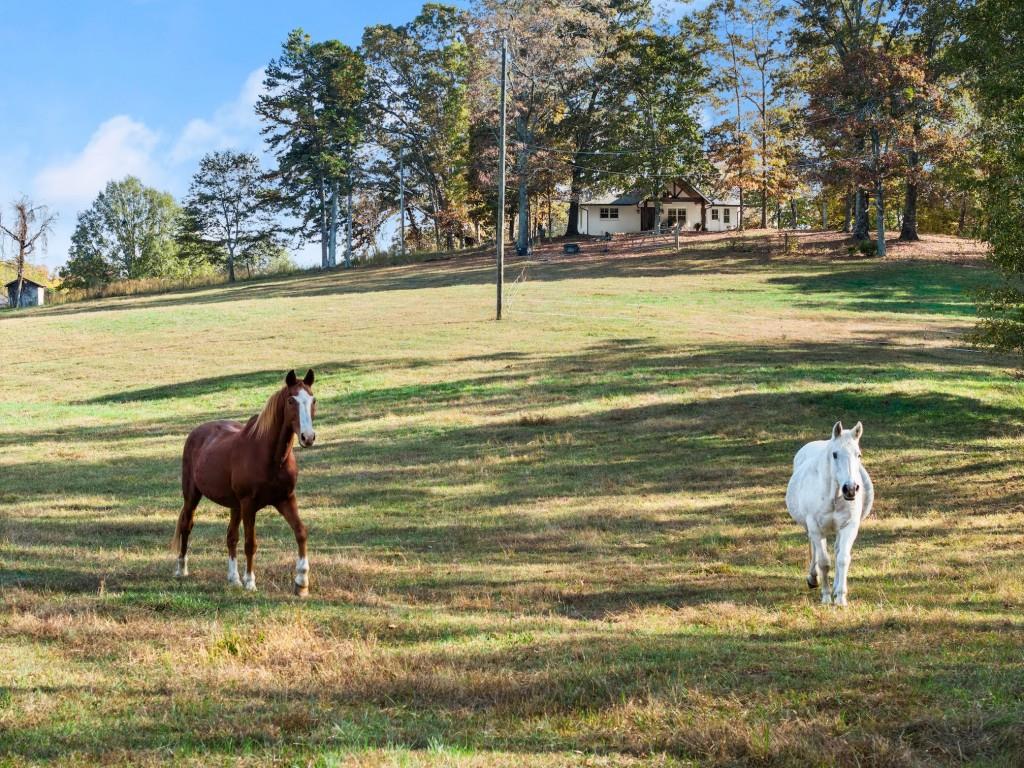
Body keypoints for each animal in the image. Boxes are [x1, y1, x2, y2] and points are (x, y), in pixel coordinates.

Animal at [172, 370, 317, 598]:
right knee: (186, 525)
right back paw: (182, 569)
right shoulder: (249, 504)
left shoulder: (285, 499)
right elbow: (251, 543)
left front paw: (301, 583)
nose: (308, 437)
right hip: (192, 495)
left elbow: (300, 532)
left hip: (235, 505)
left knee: (231, 536)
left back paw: (234, 579)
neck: (270, 457)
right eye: (291, 400)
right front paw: (250, 582)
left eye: (313, 400)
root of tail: (197, 432)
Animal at [782, 421, 872, 606]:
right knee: (813, 548)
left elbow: (842, 559)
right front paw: (825, 596)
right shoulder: (816, 527)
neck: (834, 497)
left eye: (858, 455)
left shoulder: (849, 526)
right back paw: (813, 579)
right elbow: (824, 562)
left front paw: (840, 597)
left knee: (837, 552)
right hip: (810, 528)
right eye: (835, 454)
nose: (850, 489)